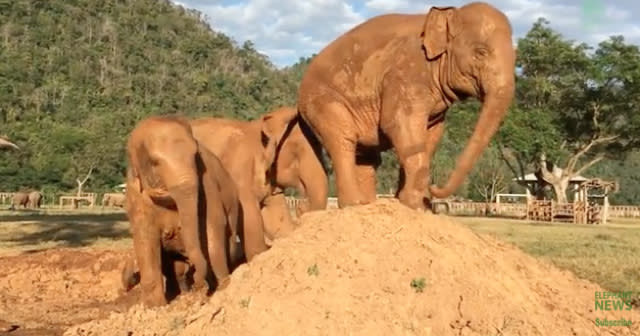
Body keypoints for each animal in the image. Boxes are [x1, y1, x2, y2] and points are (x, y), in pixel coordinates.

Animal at [125, 115, 250, 308]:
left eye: (196, 156)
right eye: (155, 163)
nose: (198, 284)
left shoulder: (207, 184)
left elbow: (212, 225)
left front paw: (222, 289)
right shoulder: (137, 196)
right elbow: (146, 238)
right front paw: (155, 307)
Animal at [296, 2, 516, 211]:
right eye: (481, 52)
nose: (434, 189)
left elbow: (431, 136)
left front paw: (412, 205)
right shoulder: (405, 72)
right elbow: (399, 125)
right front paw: (416, 205)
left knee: (366, 157)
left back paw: (368, 204)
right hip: (320, 102)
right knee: (343, 141)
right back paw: (354, 205)